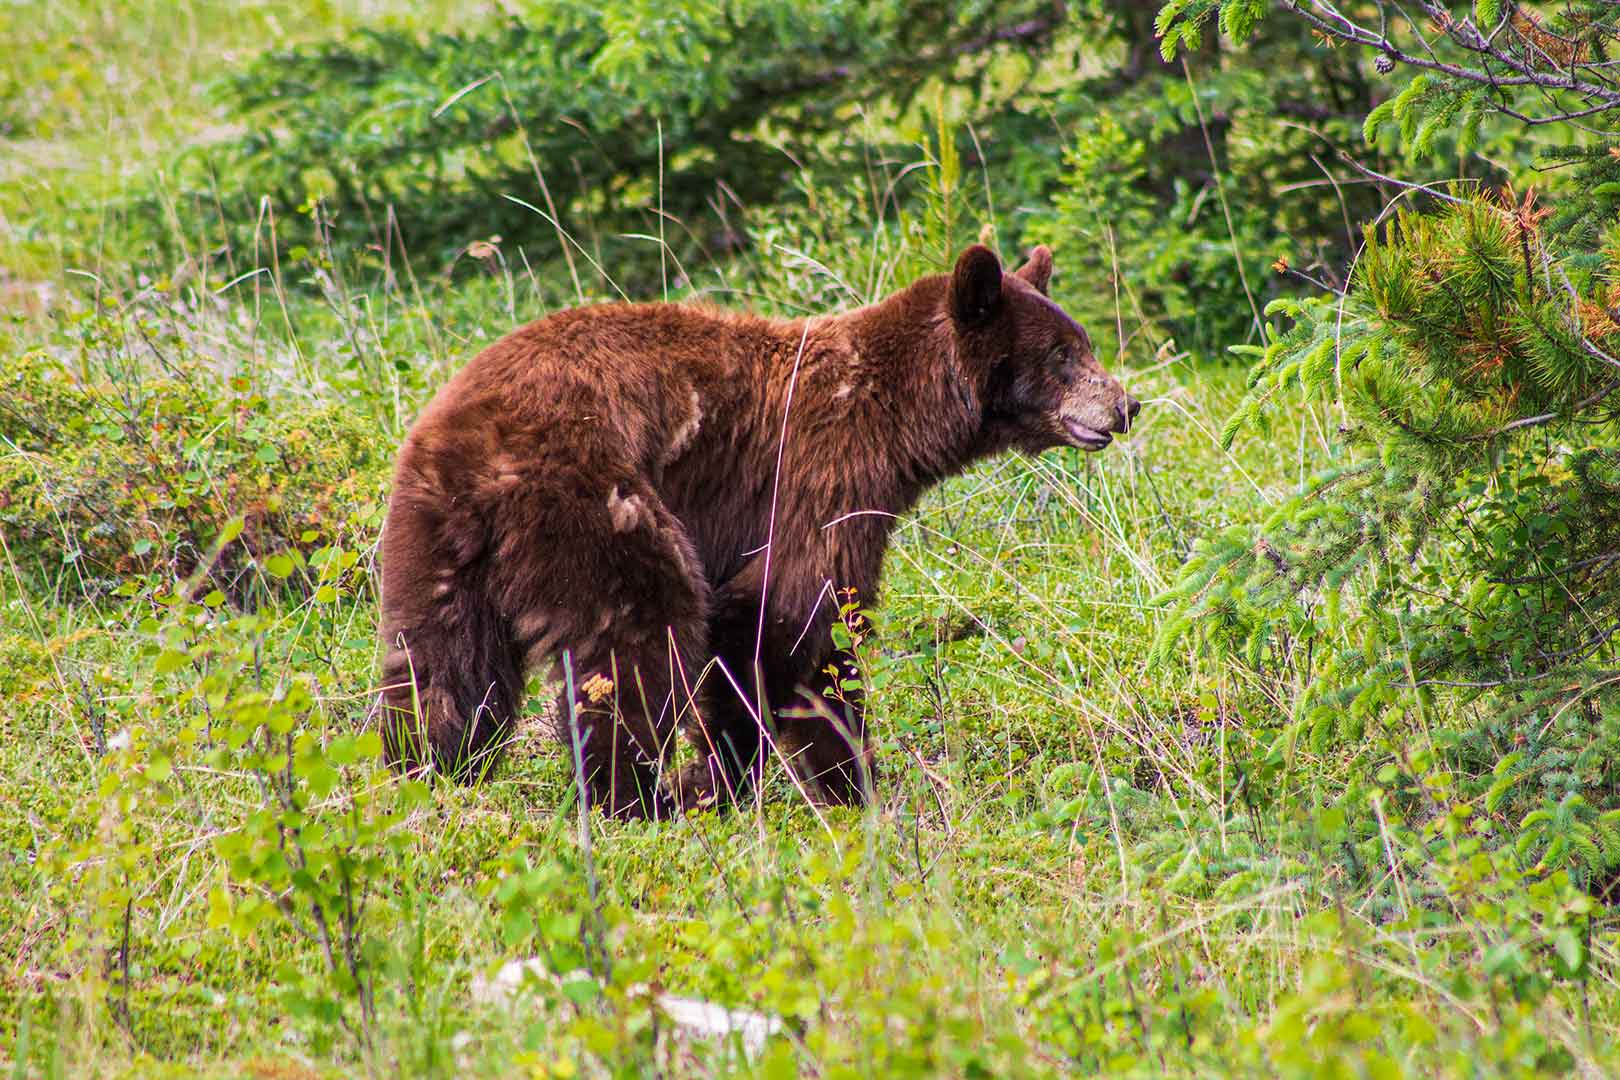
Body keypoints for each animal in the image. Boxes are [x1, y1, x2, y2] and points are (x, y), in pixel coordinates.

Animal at [379, 244, 1140, 819]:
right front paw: (721, 783)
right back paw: (634, 800)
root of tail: (477, 446)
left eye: (1082, 343)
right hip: (595, 500)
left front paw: (854, 785)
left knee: (441, 667)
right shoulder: (821, 478)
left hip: (433, 538)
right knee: (639, 643)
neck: (900, 421)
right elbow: (773, 625)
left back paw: (426, 772)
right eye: (1064, 354)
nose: (1126, 405)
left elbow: (824, 656)